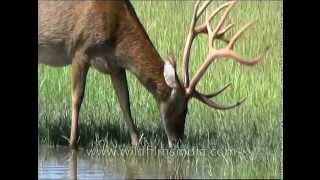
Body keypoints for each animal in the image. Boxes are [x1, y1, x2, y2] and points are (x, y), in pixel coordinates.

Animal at [38, 0, 268, 149]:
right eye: (184, 110)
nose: (178, 141)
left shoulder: (115, 64)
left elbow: (124, 101)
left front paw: (137, 143)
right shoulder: (80, 49)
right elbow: (77, 98)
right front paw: (72, 144)